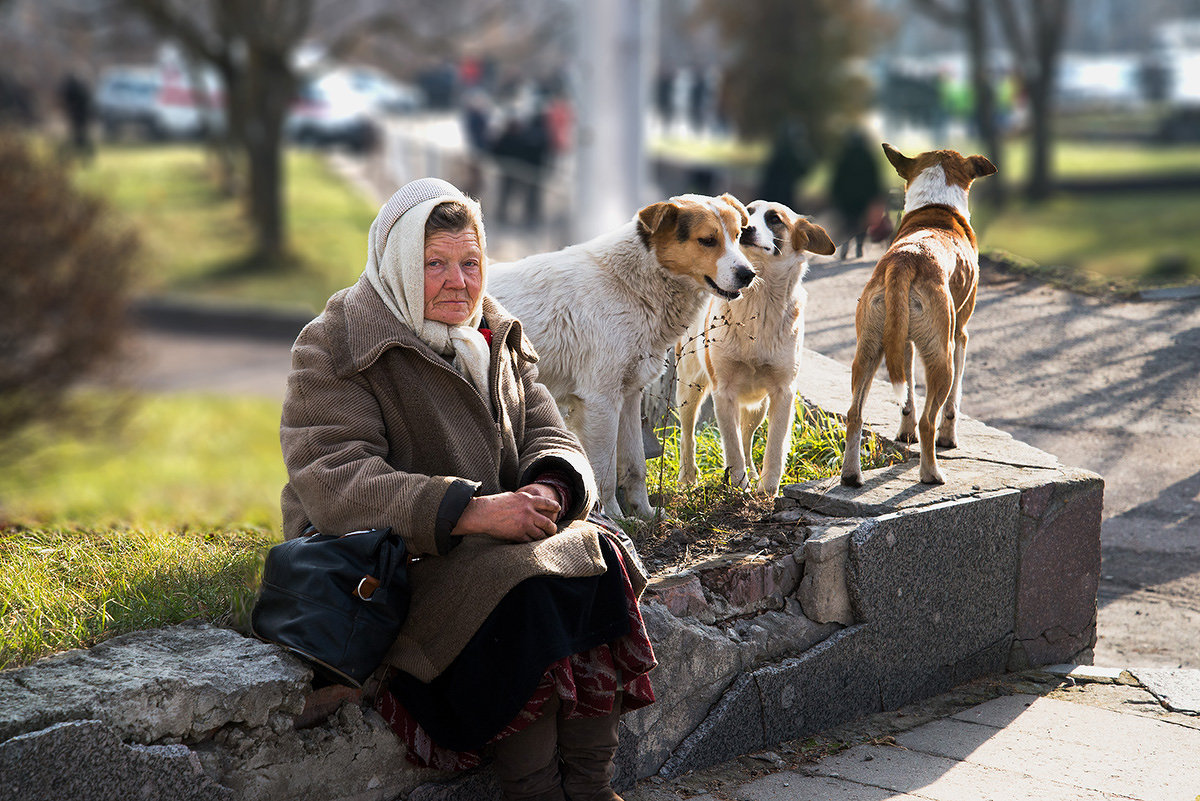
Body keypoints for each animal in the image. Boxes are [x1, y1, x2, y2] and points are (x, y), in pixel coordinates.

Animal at [484, 194, 748, 520]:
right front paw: (612, 518)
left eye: (737, 236)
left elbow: (636, 466)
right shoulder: (601, 400)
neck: (630, 285)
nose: (749, 274)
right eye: (708, 240)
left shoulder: (630, 396)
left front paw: (645, 515)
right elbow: (604, 473)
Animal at [676, 200, 835, 494]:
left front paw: (767, 490)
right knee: (688, 432)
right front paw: (739, 485)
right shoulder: (723, 391)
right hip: (689, 387)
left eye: (774, 219)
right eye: (745, 214)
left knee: (747, 436)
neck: (759, 301)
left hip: (756, 406)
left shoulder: (783, 392)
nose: (747, 229)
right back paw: (688, 477)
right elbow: (732, 446)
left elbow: (774, 446)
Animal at [840, 142, 998, 489]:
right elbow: (952, 404)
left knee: (855, 413)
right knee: (930, 418)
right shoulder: (960, 335)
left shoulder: (904, 343)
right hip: (942, 357)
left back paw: (851, 475)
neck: (937, 207)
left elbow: (908, 397)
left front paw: (904, 434)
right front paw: (948, 438)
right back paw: (931, 473)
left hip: (869, 351)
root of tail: (906, 258)